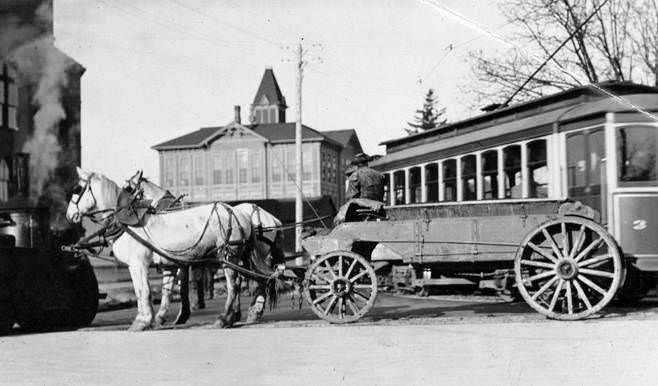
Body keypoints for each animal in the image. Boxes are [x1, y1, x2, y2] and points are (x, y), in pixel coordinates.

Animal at [66, 167, 251, 330]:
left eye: (77, 189)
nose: (69, 215)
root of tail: (236, 212)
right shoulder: (158, 264)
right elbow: (152, 291)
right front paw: (151, 319)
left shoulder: (139, 264)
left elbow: (144, 291)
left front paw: (144, 321)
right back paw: (233, 317)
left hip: (228, 256)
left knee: (233, 285)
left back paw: (224, 318)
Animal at [124, 172, 284, 326]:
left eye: (128, 189)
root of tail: (271, 219)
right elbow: (178, 286)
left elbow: (178, 287)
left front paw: (175, 315)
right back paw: (242, 313)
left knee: (257, 281)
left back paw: (251, 313)